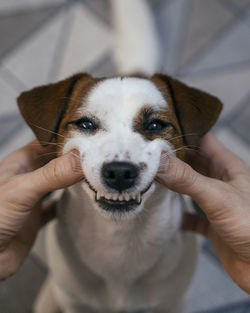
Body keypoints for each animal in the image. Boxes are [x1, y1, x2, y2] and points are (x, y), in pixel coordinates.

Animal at [16, 0, 222, 312]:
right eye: (86, 124)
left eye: (155, 125)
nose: (120, 173)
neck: (120, 241)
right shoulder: (73, 301)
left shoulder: (171, 301)